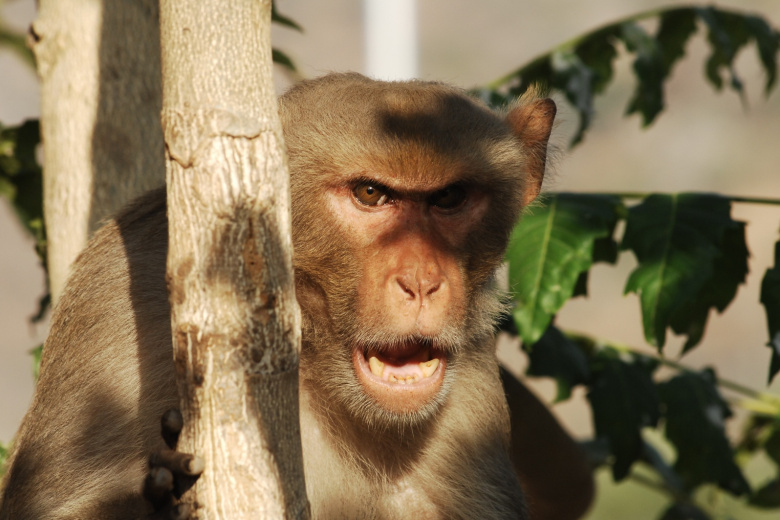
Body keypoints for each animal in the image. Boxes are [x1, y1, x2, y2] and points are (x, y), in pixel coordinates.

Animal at [0, 73, 566, 519]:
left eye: (449, 198)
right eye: (370, 194)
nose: (423, 280)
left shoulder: (472, 391)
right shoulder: (121, 292)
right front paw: (164, 503)